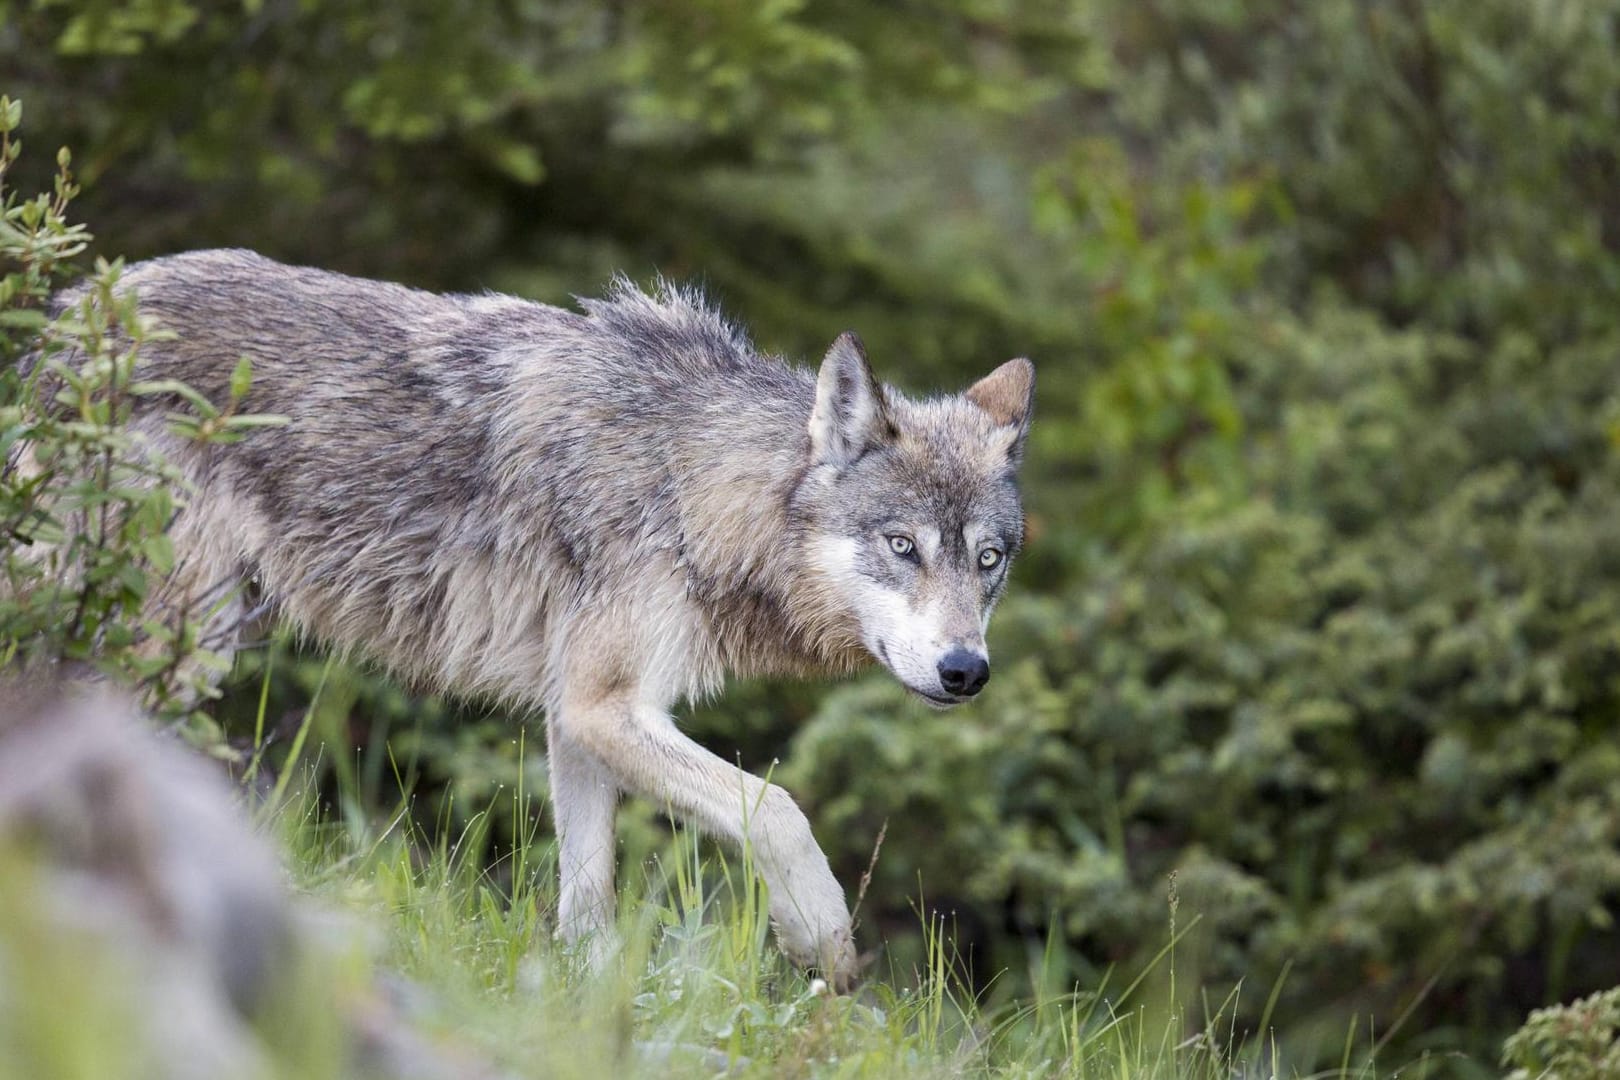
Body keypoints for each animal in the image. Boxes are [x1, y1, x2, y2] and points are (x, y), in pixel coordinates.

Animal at [50, 250, 1043, 990]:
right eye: (904, 546)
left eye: (989, 561)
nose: (966, 671)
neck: (689, 484)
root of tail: (68, 314)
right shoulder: (604, 707)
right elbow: (777, 808)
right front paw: (823, 940)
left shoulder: (577, 715)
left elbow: (588, 894)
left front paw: (584, 1002)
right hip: (181, 640)